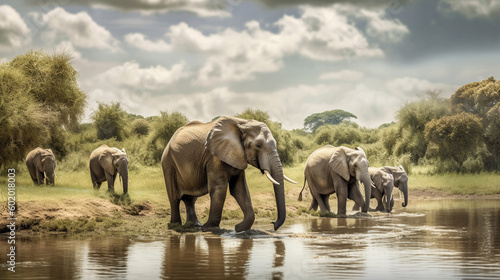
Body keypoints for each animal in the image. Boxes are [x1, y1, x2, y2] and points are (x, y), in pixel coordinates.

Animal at [161, 116, 296, 232]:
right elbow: (219, 187)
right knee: (174, 197)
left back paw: (194, 225)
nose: (273, 224)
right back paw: (176, 225)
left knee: (190, 199)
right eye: (258, 145)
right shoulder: (214, 156)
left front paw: (239, 228)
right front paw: (210, 228)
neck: (242, 123)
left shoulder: (238, 156)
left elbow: (240, 189)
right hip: (168, 163)